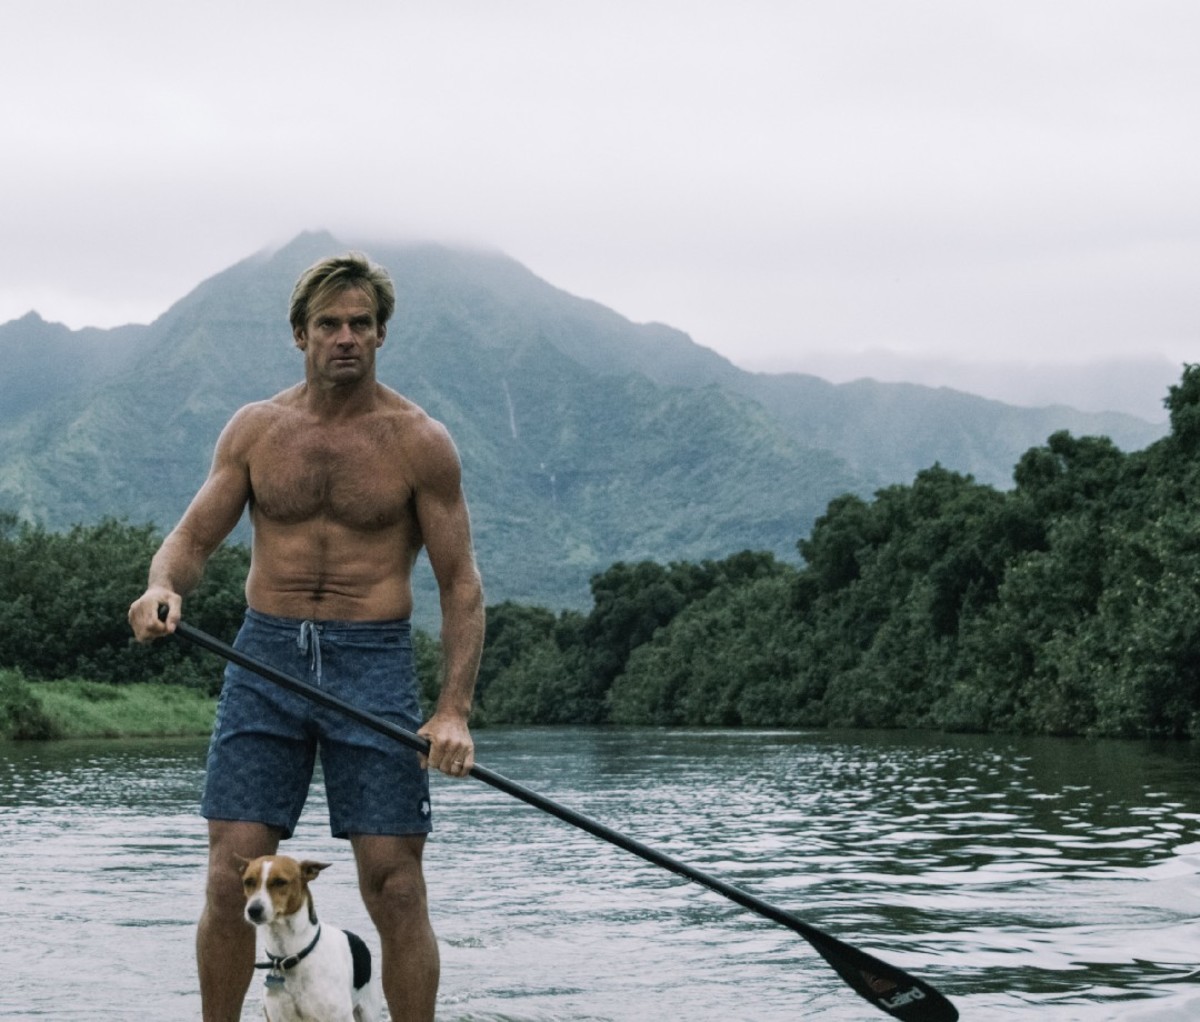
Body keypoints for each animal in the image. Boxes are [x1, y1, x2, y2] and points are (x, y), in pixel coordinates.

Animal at [235, 854, 381, 1022]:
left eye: (280, 882)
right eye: (248, 882)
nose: (253, 910)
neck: (291, 955)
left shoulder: (340, 1017)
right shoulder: (277, 1017)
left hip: (367, 1012)